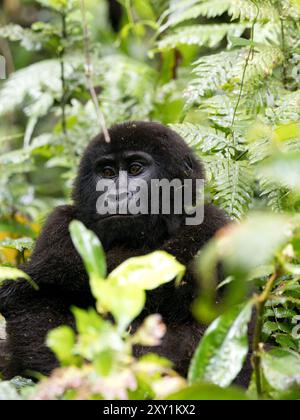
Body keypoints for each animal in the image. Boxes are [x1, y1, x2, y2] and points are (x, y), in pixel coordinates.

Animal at [0, 121, 230, 380]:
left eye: (135, 169)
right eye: (107, 173)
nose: (117, 194)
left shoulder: (212, 227)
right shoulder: (59, 225)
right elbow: (35, 306)